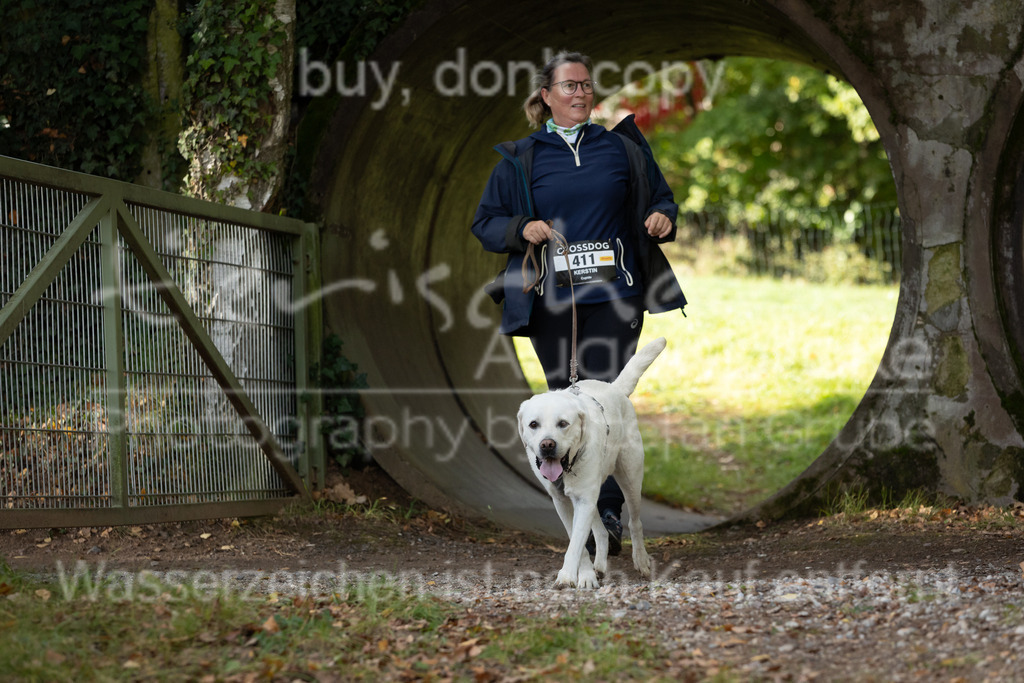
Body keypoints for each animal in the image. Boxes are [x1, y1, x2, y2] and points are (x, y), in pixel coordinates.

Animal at [516, 335, 667, 589]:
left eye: (563, 424)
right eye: (533, 424)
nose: (547, 445)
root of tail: (615, 388)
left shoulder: (584, 499)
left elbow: (576, 544)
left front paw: (568, 576)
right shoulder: (563, 502)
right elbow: (578, 544)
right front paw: (585, 575)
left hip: (630, 479)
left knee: (635, 523)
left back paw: (641, 560)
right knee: (602, 531)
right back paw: (600, 566)